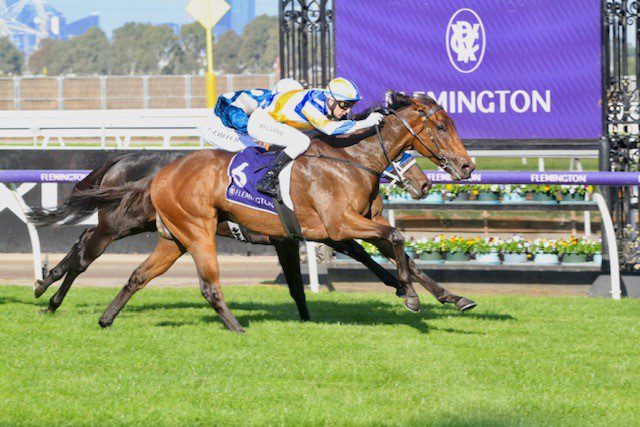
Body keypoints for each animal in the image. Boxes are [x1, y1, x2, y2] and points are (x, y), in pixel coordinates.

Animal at [92, 92, 476, 332]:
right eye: (441, 127)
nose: (466, 167)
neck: (350, 159)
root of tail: (161, 175)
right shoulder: (339, 226)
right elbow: (395, 239)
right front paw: (409, 295)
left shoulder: (355, 224)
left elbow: (401, 254)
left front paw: (453, 297)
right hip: (186, 230)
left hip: (175, 237)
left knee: (139, 275)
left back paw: (106, 318)